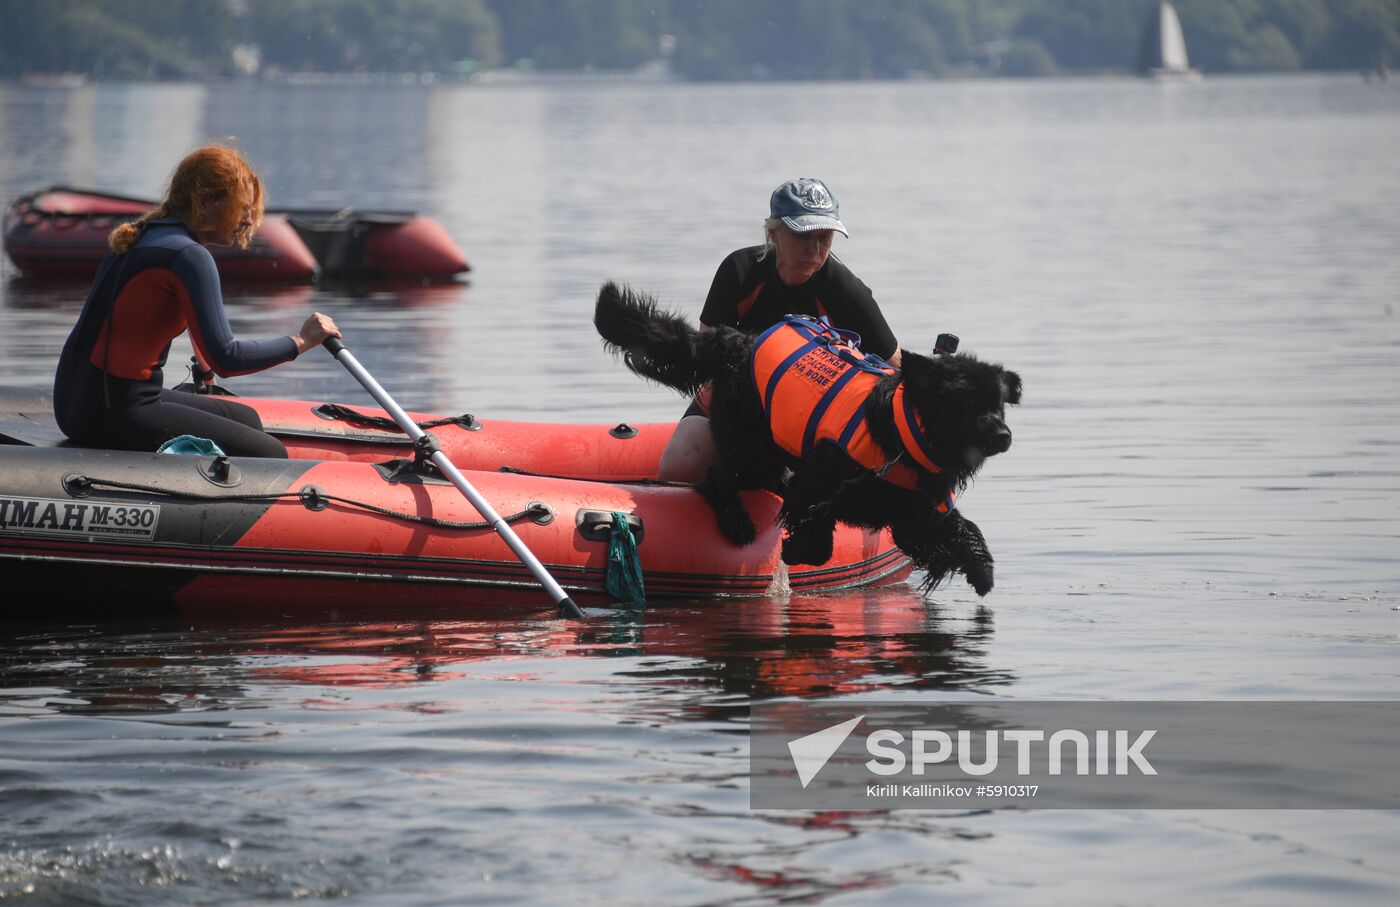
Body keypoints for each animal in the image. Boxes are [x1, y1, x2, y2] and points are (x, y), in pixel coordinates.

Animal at [590, 281, 1019, 596]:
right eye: (968, 404)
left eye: (999, 405)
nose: (1004, 435)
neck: (899, 435)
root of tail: (738, 341)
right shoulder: (826, 479)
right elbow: (817, 529)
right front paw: (797, 547)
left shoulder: (912, 507)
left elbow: (960, 530)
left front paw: (982, 572)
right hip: (752, 444)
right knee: (715, 477)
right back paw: (737, 522)